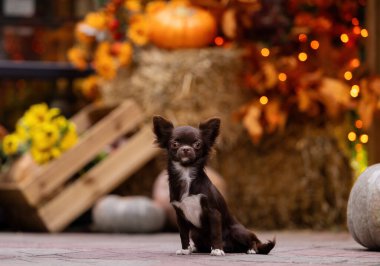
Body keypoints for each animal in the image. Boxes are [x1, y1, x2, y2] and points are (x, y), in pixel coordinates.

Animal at [153, 116, 274, 256]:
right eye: (174, 144)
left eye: (197, 144)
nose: (186, 149)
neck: (186, 173)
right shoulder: (180, 216)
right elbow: (183, 235)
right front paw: (185, 249)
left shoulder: (213, 212)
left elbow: (215, 233)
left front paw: (217, 249)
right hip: (195, 233)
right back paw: (195, 248)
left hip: (238, 231)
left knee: (253, 240)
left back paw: (250, 249)